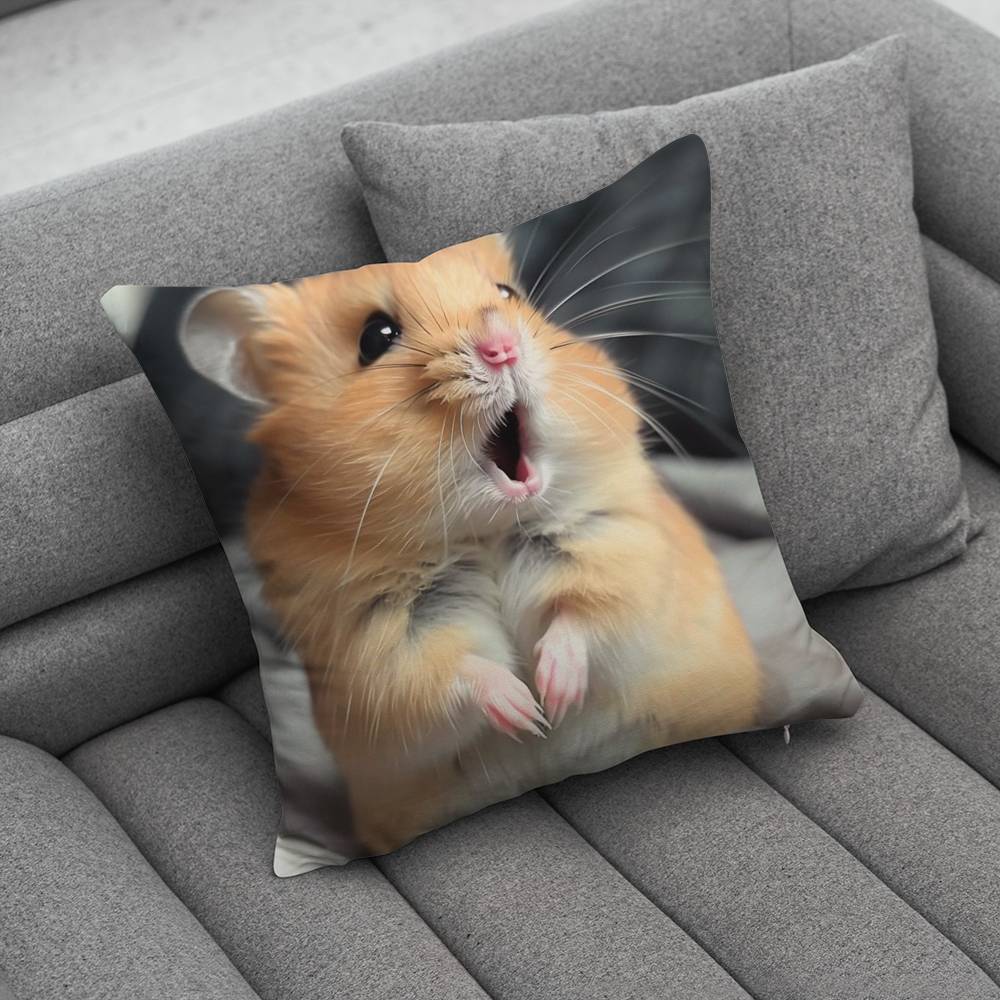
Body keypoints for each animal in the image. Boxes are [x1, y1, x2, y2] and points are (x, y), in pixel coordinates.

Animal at [181, 234, 761, 856]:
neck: (485, 531)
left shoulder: (619, 543)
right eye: (375, 338)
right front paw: (527, 714)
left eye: (507, 294)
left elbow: (584, 617)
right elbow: (453, 673)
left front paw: (554, 696)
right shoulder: (375, 647)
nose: (502, 348)